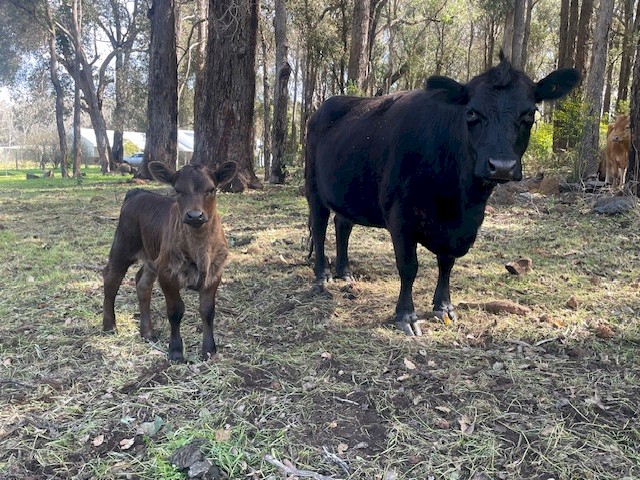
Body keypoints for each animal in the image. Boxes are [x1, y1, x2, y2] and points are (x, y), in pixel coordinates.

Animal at [102, 161, 237, 361]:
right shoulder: (167, 274)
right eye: (177, 190)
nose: (194, 215)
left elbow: (207, 310)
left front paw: (209, 350)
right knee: (111, 279)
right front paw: (175, 351)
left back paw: (147, 332)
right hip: (123, 246)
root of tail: (138, 192)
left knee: (142, 284)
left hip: (152, 258)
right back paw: (109, 326)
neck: (199, 250)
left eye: (211, 189)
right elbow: (175, 310)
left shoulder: (215, 273)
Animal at [305, 53, 580, 336]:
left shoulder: (459, 228)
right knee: (320, 227)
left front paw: (444, 306)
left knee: (343, 224)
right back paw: (322, 275)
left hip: (347, 192)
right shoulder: (400, 216)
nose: (502, 165)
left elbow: (447, 263)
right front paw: (406, 315)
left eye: (530, 113)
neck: (457, 200)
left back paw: (344, 271)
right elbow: (408, 266)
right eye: (470, 112)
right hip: (313, 187)